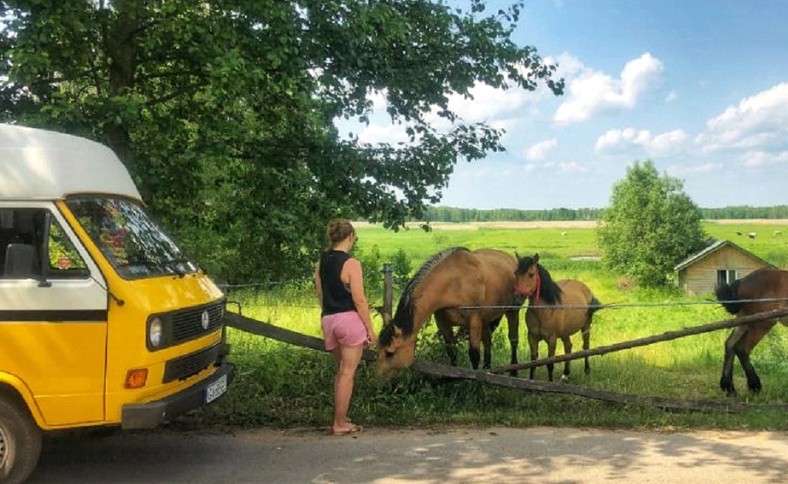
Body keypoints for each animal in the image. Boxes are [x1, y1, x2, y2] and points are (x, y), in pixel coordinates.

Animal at [376, 248, 524, 380]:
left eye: (390, 353)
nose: (378, 379)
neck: (454, 283)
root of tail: (510, 259)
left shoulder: (474, 321)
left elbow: (474, 355)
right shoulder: (442, 322)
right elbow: (452, 351)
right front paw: (452, 377)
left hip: (512, 311)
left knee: (513, 339)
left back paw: (513, 371)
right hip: (485, 319)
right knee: (488, 340)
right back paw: (488, 369)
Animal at [516, 253, 600, 382]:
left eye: (531, 274)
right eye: (516, 273)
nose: (517, 297)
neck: (544, 311)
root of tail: (585, 289)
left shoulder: (552, 339)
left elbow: (550, 364)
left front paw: (550, 382)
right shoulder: (532, 337)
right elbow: (533, 362)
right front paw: (531, 382)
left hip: (585, 327)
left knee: (586, 347)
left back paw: (586, 370)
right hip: (565, 332)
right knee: (568, 347)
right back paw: (565, 374)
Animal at [716, 266, 784, 396]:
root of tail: (742, 281)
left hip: (744, 320)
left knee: (730, 344)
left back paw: (729, 387)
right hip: (762, 324)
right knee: (742, 349)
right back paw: (755, 386)